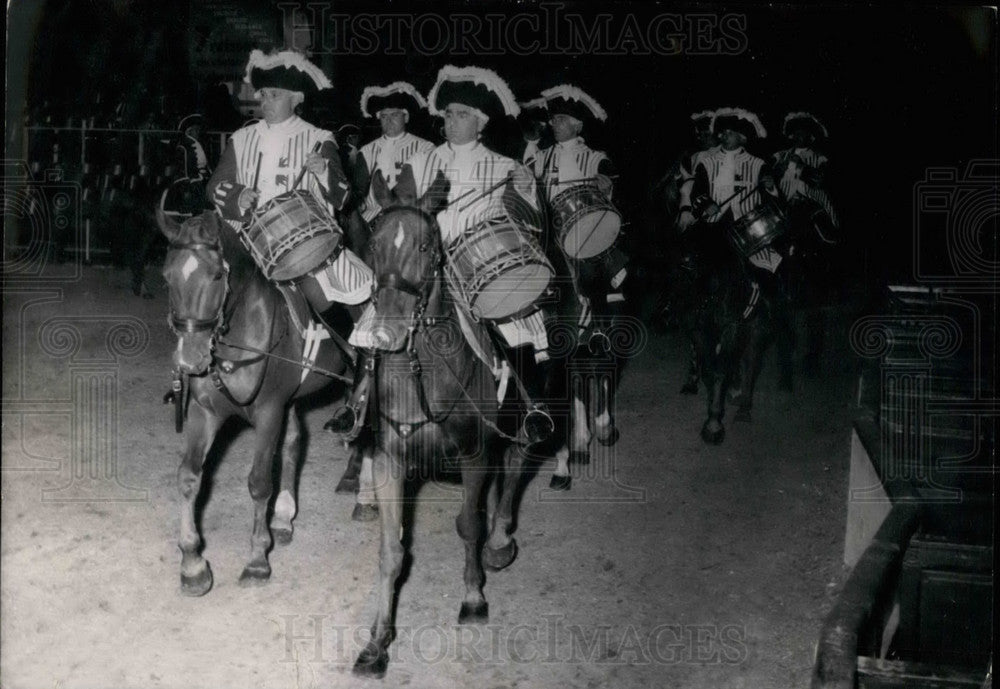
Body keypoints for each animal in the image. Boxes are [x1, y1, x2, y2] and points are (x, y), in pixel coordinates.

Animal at [156, 208, 356, 592]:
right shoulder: (206, 412)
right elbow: (189, 476)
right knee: (294, 443)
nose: (190, 360)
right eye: (167, 276)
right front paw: (193, 563)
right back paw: (284, 517)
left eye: (216, 275)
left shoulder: (268, 412)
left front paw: (258, 560)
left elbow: (260, 482)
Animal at [356, 173, 536, 676]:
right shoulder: (389, 462)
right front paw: (378, 641)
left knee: (517, 465)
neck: (423, 371)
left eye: (425, 245)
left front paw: (474, 597)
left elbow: (469, 525)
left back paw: (500, 541)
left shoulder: (474, 455)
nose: (386, 333)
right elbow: (391, 551)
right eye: (373, 244)